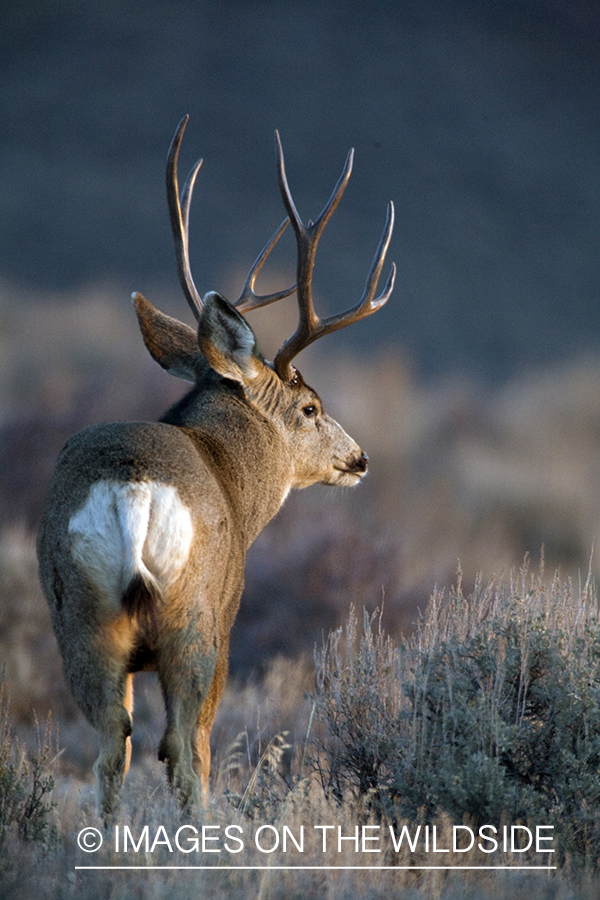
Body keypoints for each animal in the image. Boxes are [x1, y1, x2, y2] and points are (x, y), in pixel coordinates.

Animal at [37, 116, 395, 820]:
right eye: (311, 407)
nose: (360, 458)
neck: (231, 476)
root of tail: (132, 489)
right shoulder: (230, 618)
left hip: (80, 614)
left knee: (110, 745)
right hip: (195, 618)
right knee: (181, 744)